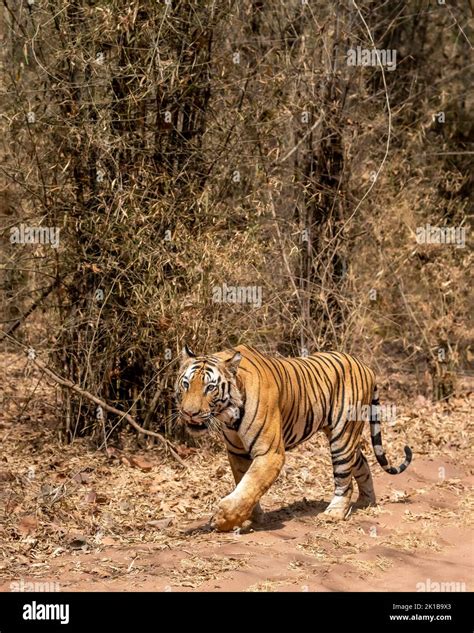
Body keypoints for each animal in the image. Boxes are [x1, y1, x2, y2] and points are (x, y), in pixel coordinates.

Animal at [175, 344, 412, 532]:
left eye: (210, 387)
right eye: (186, 384)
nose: (189, 413)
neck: (228, 414)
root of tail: (366, 366)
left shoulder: (270, 453)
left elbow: (251, 484)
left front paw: (223, 520)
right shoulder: (237, 452)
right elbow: (245, 484)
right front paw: (250, 518)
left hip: (342, 435)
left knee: (345, 477)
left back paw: (334, 514)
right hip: (345, 434)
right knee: (361, 463)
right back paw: (366, 501)